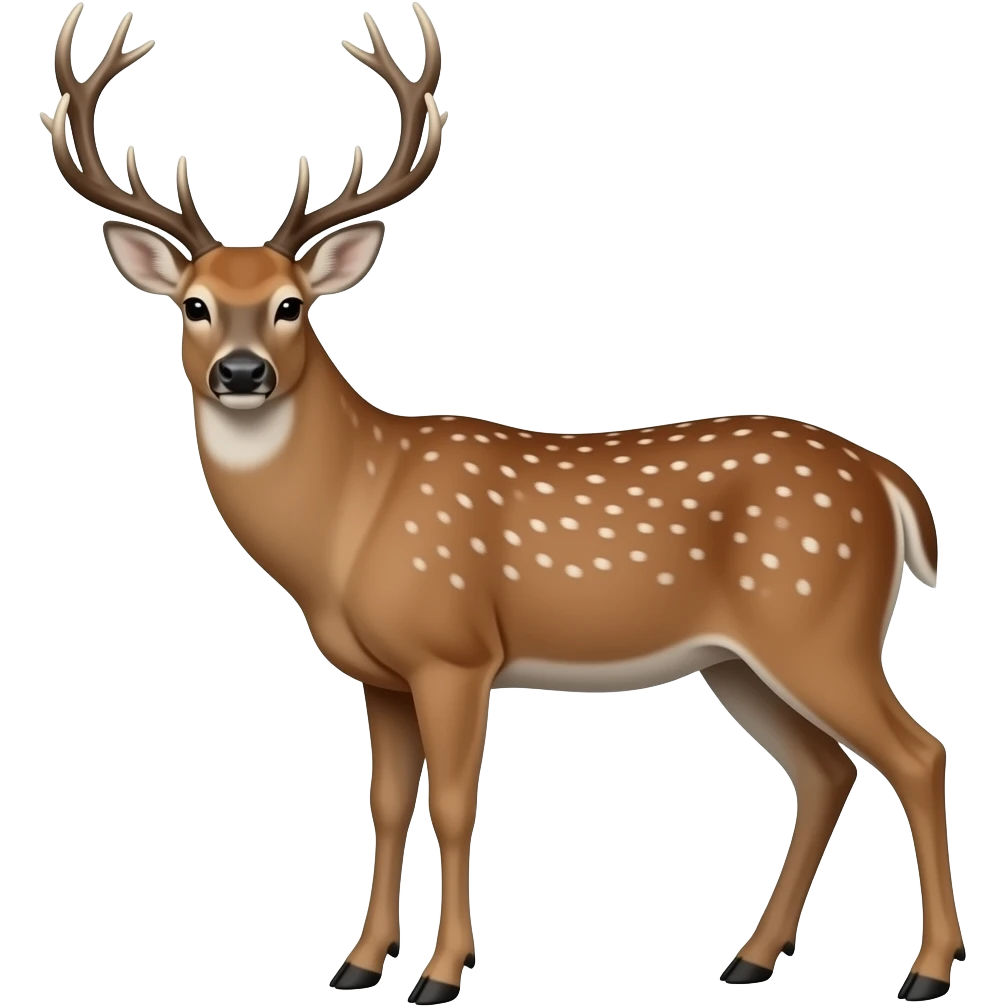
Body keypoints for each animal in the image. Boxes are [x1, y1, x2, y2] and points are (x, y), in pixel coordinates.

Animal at [41, 3, 962, 1002]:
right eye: (195, 305)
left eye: (293, 307)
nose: (240, 374)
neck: (347, 522)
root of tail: (889, 483)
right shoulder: (381, 674)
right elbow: (384, 803)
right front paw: (358, 964)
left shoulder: (455, 649)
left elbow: (452, 804)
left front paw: (442, 973)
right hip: (739, 659)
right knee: (826, 771)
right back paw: (750, 957)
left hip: (820, 622)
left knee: (917, 753)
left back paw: (927, 971)